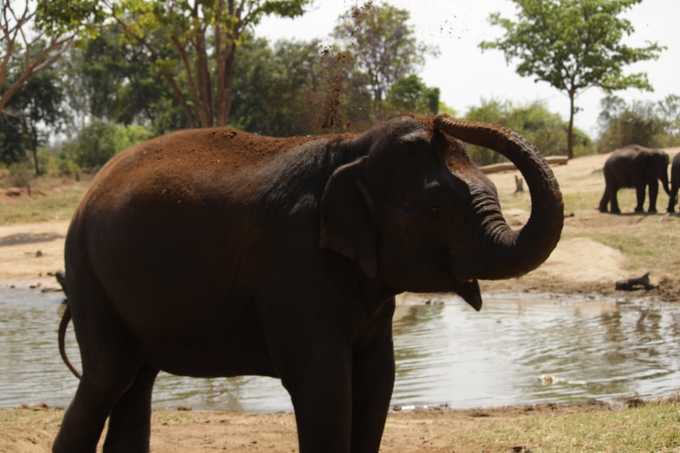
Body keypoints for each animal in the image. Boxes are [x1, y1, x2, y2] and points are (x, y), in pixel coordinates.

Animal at [51, 115, 564, 452]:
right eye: (436, 209)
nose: (442, 118)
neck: (352, 146)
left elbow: (378, 380)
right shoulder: (295, 266)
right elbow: (326, 386)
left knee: (137, 383)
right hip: (87, 271)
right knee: (109, 377)